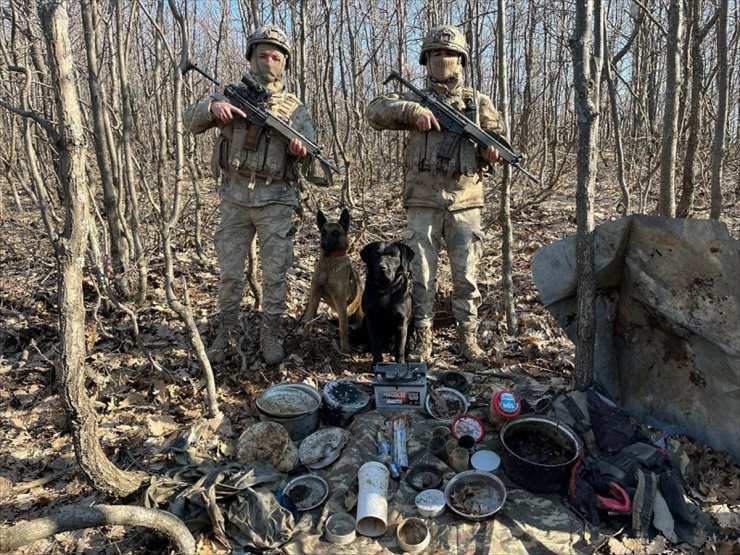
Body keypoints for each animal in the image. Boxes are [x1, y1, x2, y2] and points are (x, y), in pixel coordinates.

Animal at [304, 208, 364, 352]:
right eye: (323, 232)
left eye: (336, 233)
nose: (323, 245)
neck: (330, 263)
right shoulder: (314, 295)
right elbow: (308, 320)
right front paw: (304, 337)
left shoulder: (341, 302)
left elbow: (343, 329)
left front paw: (345, 349)